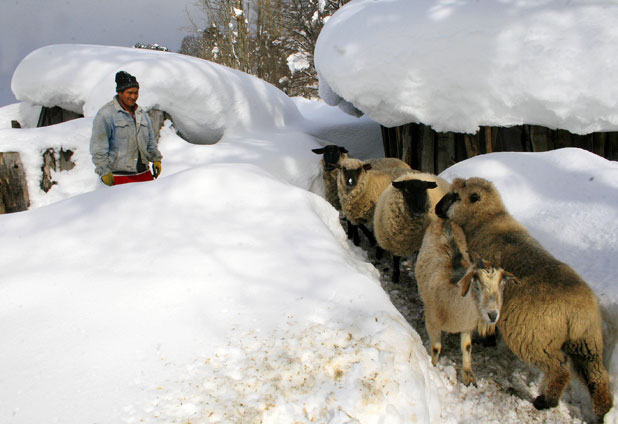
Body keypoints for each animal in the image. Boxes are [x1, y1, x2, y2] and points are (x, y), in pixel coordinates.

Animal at [414, 220, 516, 386]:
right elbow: (436, 347)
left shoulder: (467, 327)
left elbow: (467, 347)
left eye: (502, 285)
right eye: (477, 285)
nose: (493, 315)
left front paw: (468, 375)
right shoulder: (431, 322)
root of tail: (445, 221)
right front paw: (432, 365)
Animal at [434, 177, 612, 422]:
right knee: (597, 377)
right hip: (587, 342)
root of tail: (576, 313)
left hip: (533, 338)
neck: (487, 219)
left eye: (456, 196)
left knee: (559, 369)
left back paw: (546, 401)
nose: (436, 209)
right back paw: (603, 412)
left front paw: (486, 339)